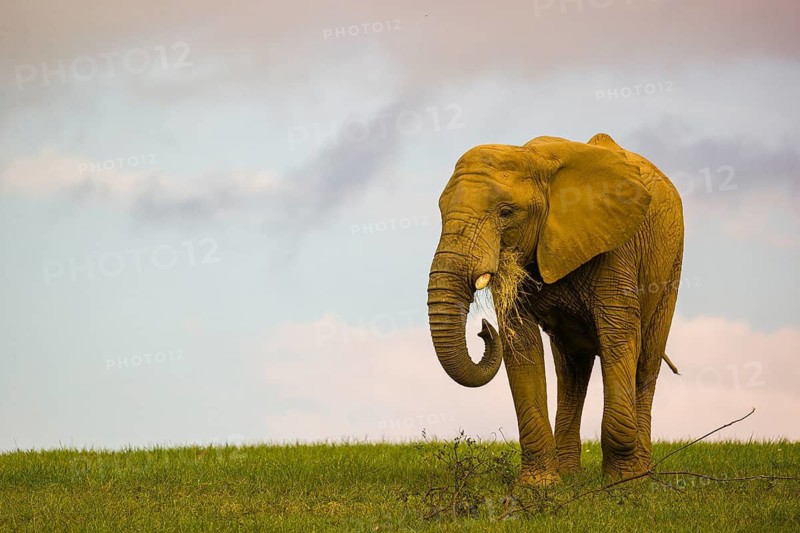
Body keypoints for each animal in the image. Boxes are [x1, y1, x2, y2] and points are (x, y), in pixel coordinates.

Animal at [426, 133, 683, 483]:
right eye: (441, 212)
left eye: (506, 213)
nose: (482, 330)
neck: (534, 160)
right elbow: (522, 345)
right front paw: (539, 485)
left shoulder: (616, 249)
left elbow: (618, 335)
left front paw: (624, 482)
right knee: (572, 370)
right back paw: (570, 474)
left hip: (671, 265)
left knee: (646, 363)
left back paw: (642, 472)